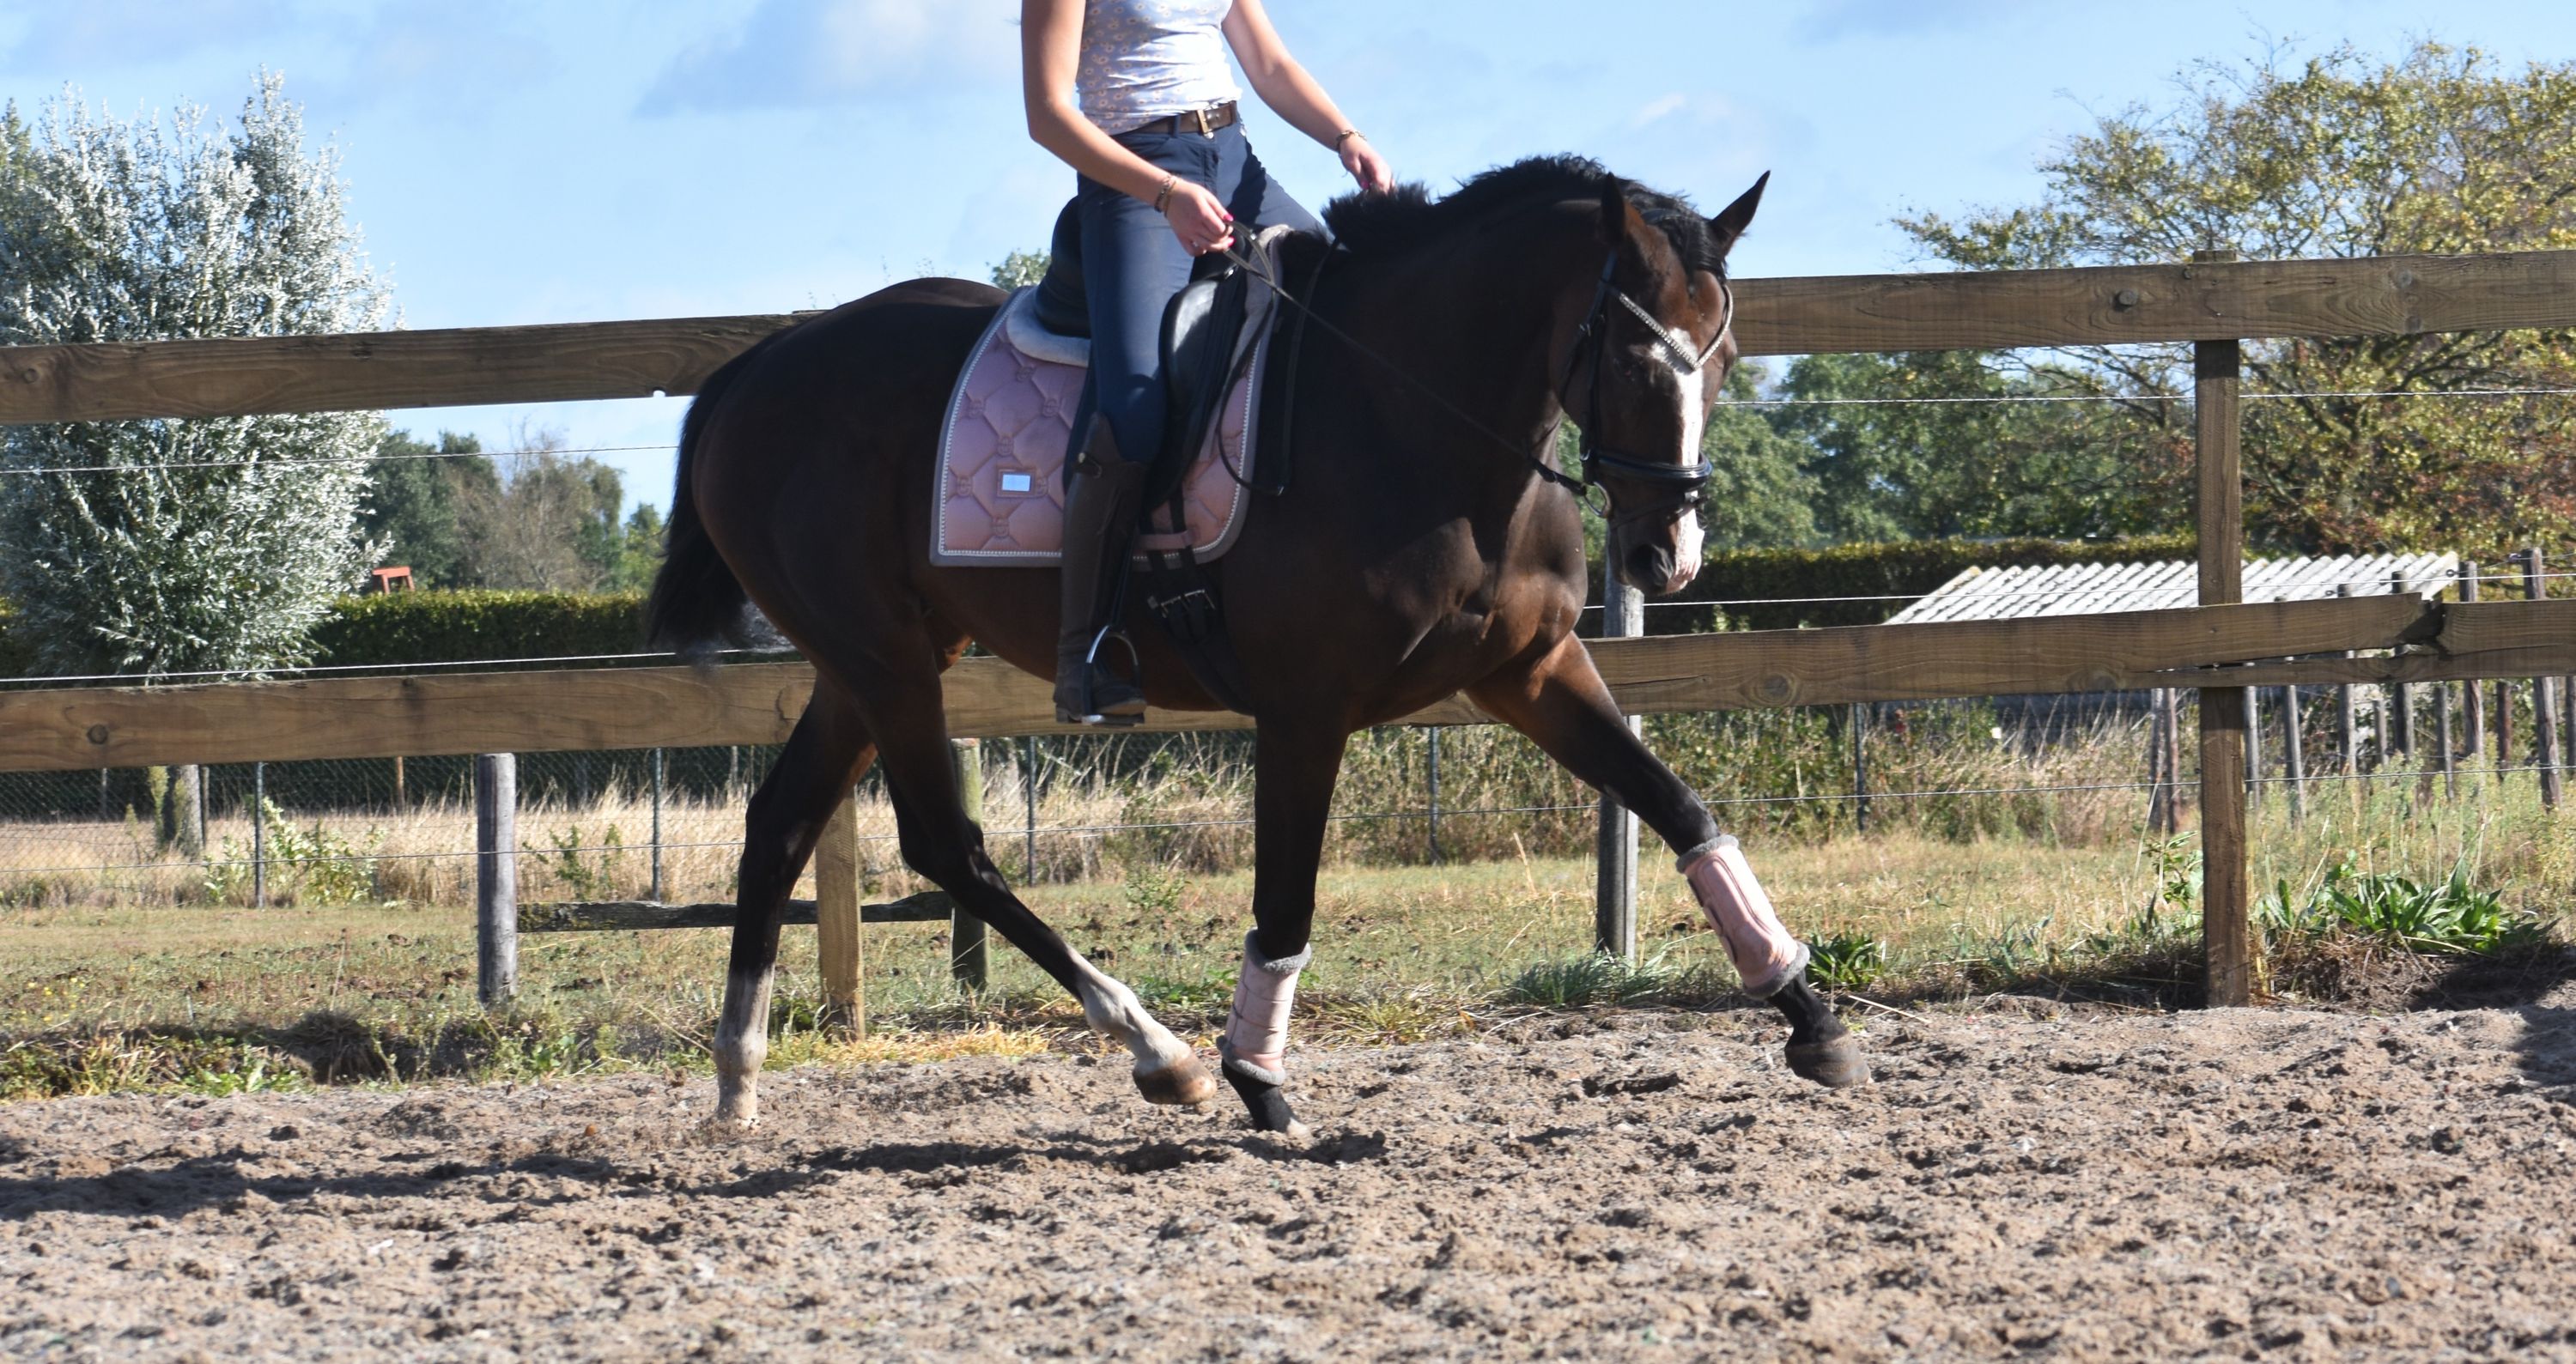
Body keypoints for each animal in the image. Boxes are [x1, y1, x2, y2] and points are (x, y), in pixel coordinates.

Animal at [645, 154, 1867, 1136]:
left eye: (1722, 357)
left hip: (873, 660)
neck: (1409, 413)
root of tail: (757, 369)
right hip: (886, 659)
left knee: (780, 822)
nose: (1671, 553)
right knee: (946, 846)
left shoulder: (1532, 671)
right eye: (1629, 354)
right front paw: (1257, 1078)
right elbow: (1286, 902)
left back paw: (738, 1079)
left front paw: (1810, 1014)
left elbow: (1680, 807)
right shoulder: (1306, 709)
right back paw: (1162, 1054)